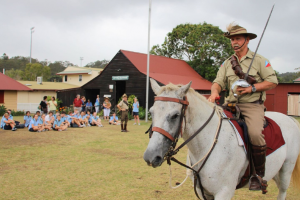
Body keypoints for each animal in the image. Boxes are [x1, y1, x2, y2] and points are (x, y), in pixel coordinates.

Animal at [144, 79, 300, 200]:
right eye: (151, 112)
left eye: (175, 115)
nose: (150, 157)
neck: (207, 145)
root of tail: (290, 118)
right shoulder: (204, 193)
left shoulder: (224, 192)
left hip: (286, 170)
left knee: (282, 191)